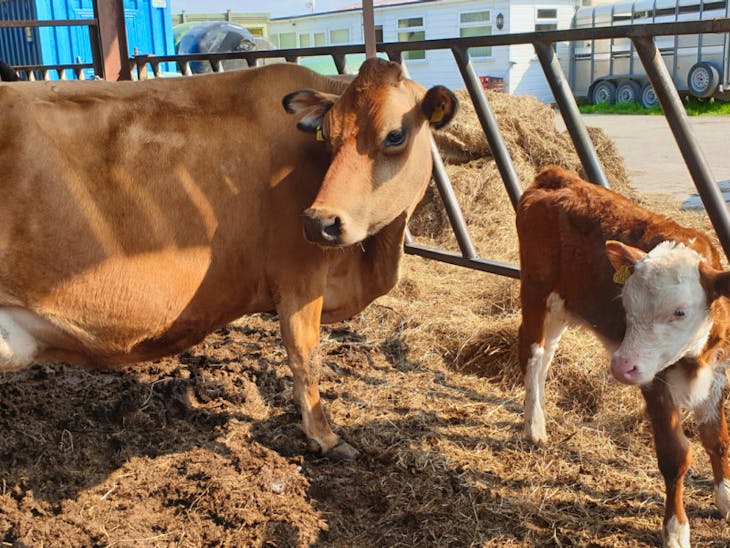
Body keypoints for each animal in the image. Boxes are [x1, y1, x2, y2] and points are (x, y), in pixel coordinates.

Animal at [0, 58, 457, 460]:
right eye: (327, 136)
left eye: (395, 135)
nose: (319, 223)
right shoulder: (298, 274)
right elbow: (305, 356)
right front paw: (324, 437)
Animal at [516, 166, 730, 547]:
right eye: (626, 305)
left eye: (680, 312)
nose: (621, 365)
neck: (695, 358)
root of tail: (558, 176)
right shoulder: (656, 383)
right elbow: (675, 456)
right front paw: (675, 529)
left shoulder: (717, 372)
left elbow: (717, 439)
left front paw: (726, 499)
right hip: (536, 291)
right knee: (532, 350)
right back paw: (533, 426)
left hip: (564, 303)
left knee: (546, 356)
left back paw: (538, 416)